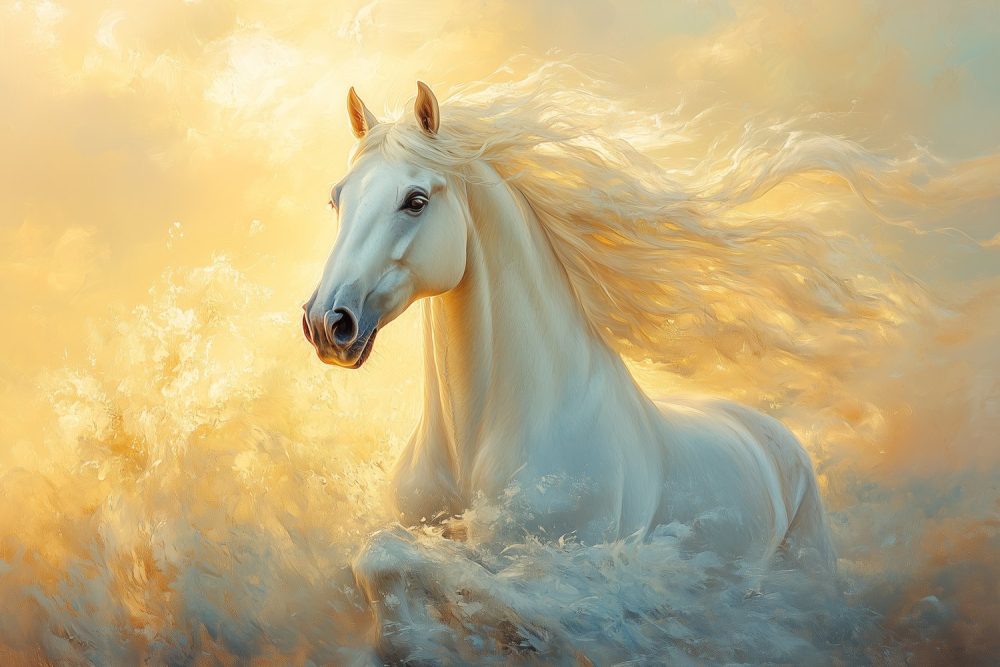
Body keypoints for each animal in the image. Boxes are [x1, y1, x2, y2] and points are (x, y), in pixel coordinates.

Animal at [302, 78, 836, 658]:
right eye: (336, 198)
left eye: (415, 200)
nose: (327, 323)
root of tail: (774, 434)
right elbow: (385, 564)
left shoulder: (568, 596)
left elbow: (407, 560)